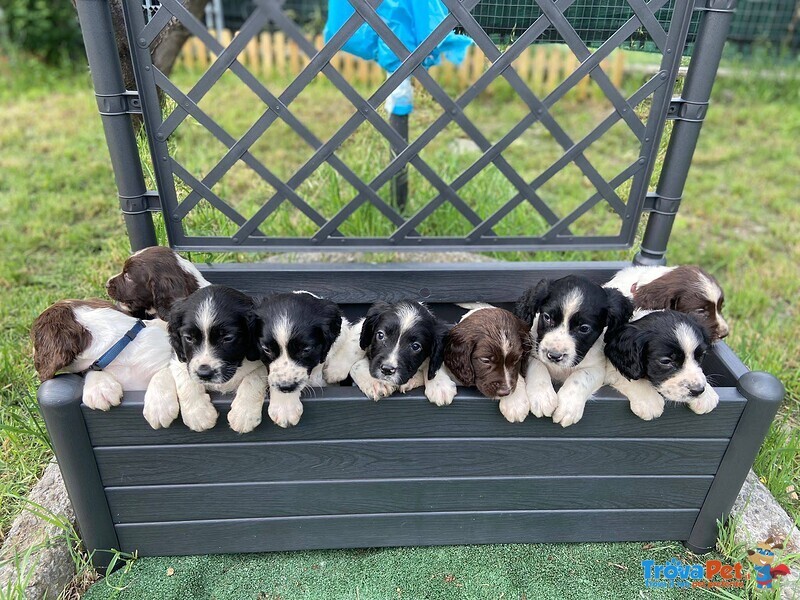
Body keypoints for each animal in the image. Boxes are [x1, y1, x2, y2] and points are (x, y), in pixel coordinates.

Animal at [164, 284, 268, 432]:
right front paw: (198, 414)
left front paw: (244, 414)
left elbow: (255, 376)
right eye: (188, 338)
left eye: (228, 338)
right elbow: (185, 378)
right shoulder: (180, 358)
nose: (204, 373)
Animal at [516, 276, 636, 426]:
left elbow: (580, 377)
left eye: (584, 328)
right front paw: (542, 396)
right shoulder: (533, 351)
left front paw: (568, 407)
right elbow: (538, 365)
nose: (554, 356)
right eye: (547, 317)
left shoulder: (597, 368)